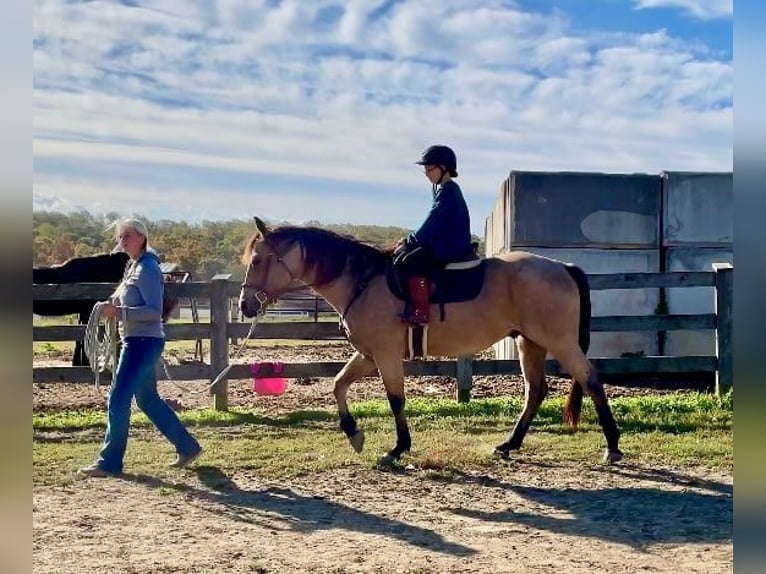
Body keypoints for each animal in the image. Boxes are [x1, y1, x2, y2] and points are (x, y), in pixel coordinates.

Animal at [34, 253, 183, 368]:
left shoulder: (84, 312)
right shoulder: (86, 311)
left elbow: (80, 336)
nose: (164, 317)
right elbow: (82, 337)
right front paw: (83, 363)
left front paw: (78, 363)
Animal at [240, 217, 624, 468]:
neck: (362, 281)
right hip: (530, 343)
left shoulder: (385, 355)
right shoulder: (367, 355)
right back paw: (509, 444)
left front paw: (397, 448)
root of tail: (563, 267)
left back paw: (612, 447)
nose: (245, 306)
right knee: (536, 391)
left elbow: (395, 399)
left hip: (559, 342)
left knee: (591, 381)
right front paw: (354, 434)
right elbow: (338, 384)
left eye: (258, 260)